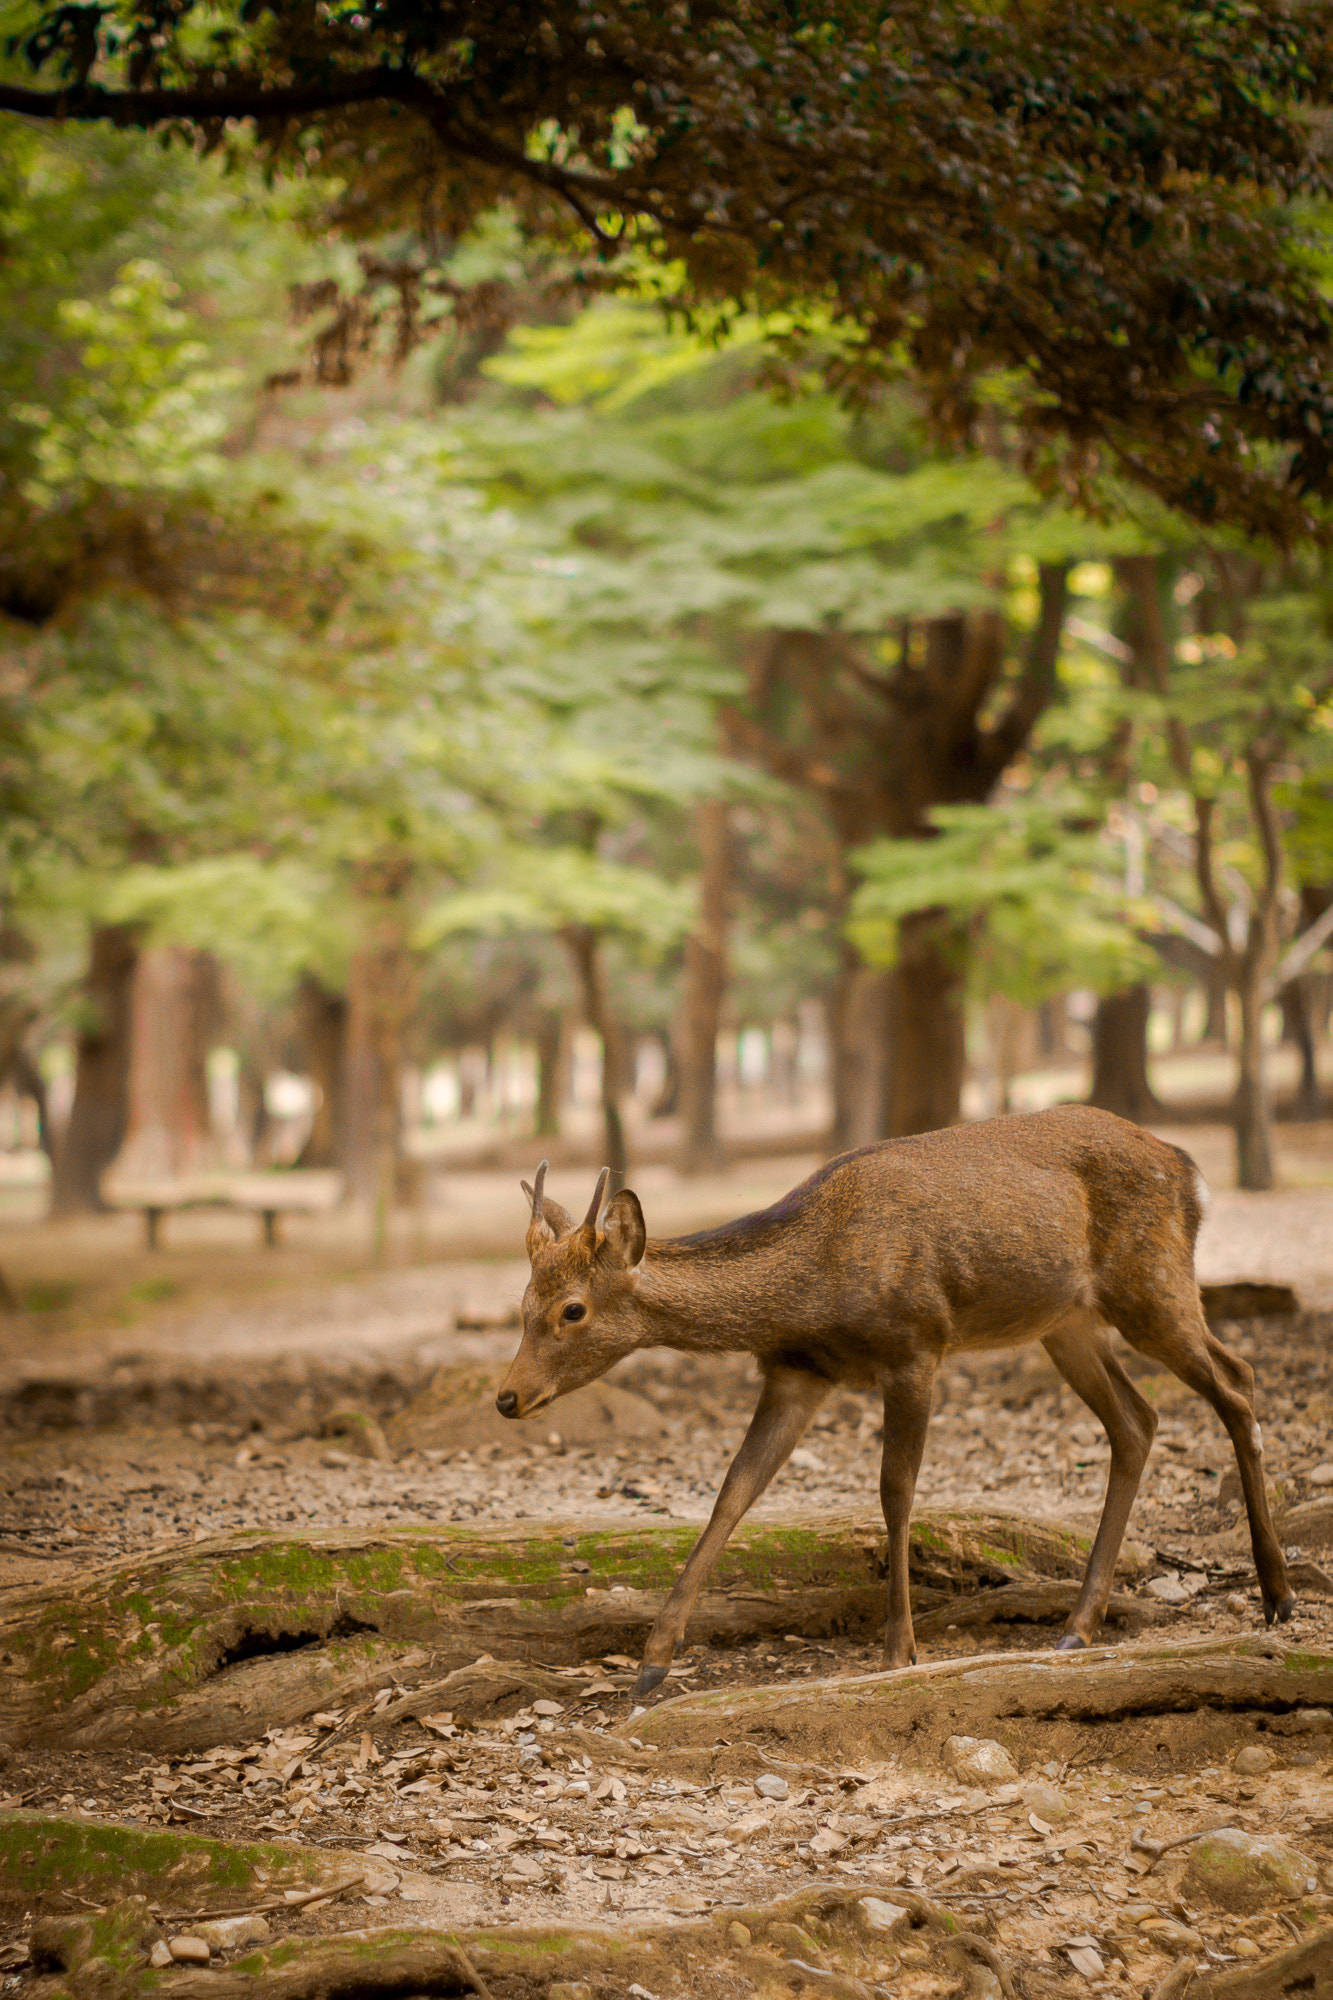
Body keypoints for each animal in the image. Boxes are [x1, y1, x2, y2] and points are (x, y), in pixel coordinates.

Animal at [490, 1112, 1288, 1704]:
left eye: (572, 1309)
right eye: (520, 1303)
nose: (507, 1396)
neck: (810, 1292)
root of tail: (1189, 1170)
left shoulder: (915, 1347)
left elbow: (895, 1491)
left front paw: (899, 1648)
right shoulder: (797, 1372)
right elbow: (734, 1491)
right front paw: (653, 1662)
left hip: (1151, 1280)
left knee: (1237, 1379)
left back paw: (1277, 1594)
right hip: (1066, 1321)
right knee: (1136, 1420)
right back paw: (1078, 1625)